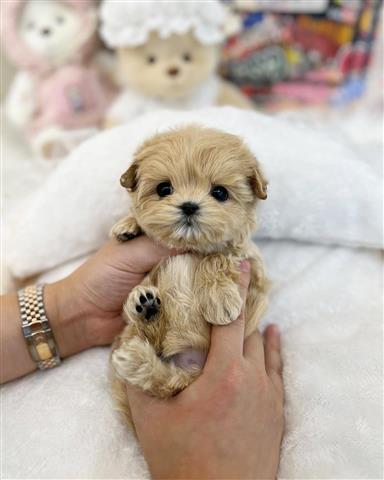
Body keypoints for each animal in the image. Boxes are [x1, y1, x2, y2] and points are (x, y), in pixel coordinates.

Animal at [109, 125, 268, 430]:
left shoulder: (252, 269)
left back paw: (137, 353)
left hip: (189, 377)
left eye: (219, 192)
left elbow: (217, 258)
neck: (192, 246)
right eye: (164, 189)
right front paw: (128, 226)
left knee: (172, 383)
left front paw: (219, 301)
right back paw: (144, 313)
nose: (189, 206)